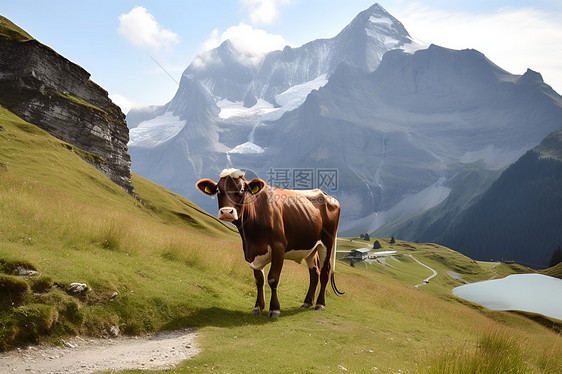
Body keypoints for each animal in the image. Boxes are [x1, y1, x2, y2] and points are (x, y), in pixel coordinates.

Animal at [197, 169, 346, 318]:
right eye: (218, 190)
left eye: (242, 190)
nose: (227, 212)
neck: (250, 235)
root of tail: (327, 196)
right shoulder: (252, 252)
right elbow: (259, 280)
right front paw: (258, 307)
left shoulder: (278, 246)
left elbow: (273, 278)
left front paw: (274, 309)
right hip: (311, 246)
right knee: (314, 272)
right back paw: (307, 302)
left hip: (327, 242)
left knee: (325, 271)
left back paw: (320, 303)